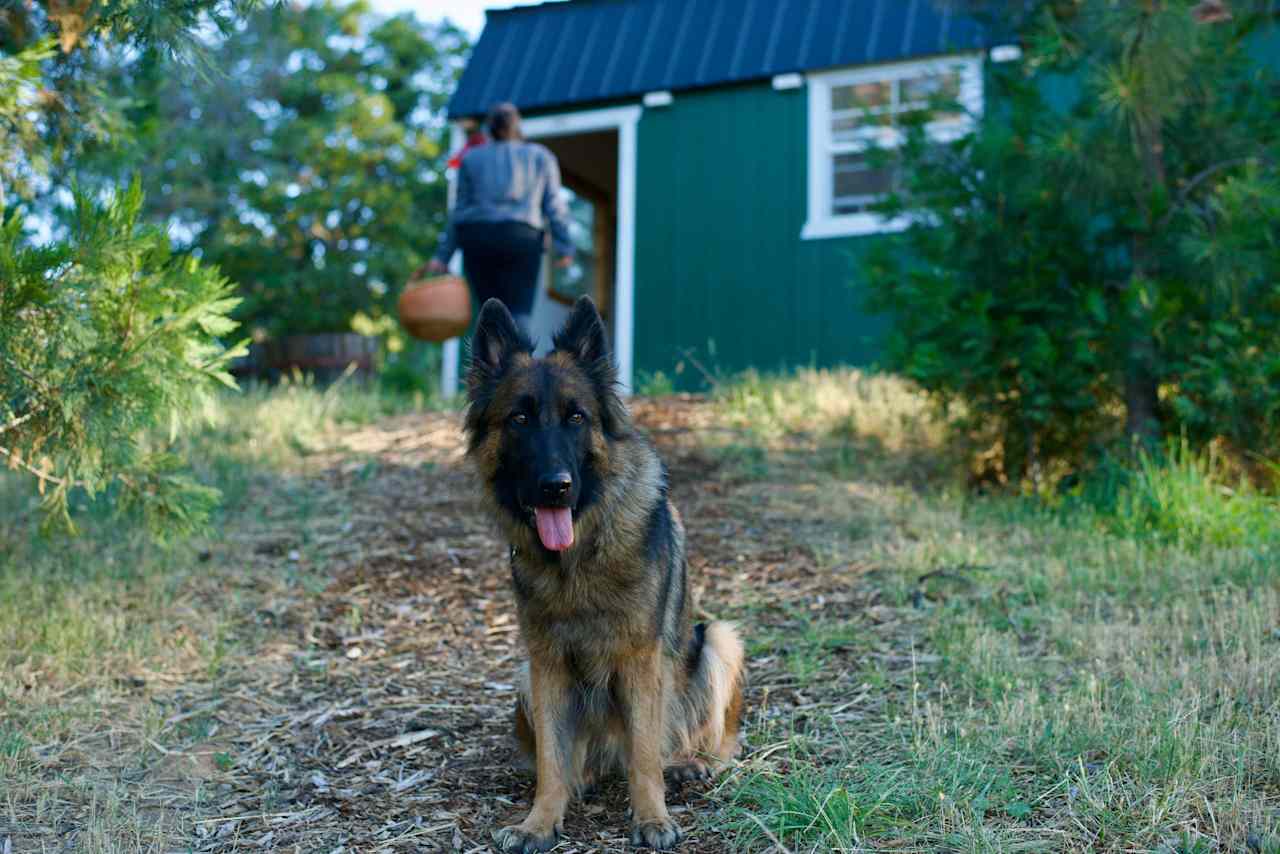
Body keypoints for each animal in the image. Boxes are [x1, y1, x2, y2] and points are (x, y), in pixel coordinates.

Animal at [465, 297, 747, 850]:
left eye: (577, 417)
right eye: (519, 418)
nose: (556, 486)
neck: (578, 556)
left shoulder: (640, 660)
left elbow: (645, 753)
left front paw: (651, 817)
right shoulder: (546, 663)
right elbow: (552, 761)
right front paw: (540, 821)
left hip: (718, 640)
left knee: (709, 742)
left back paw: (689, 763)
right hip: (524, 678)